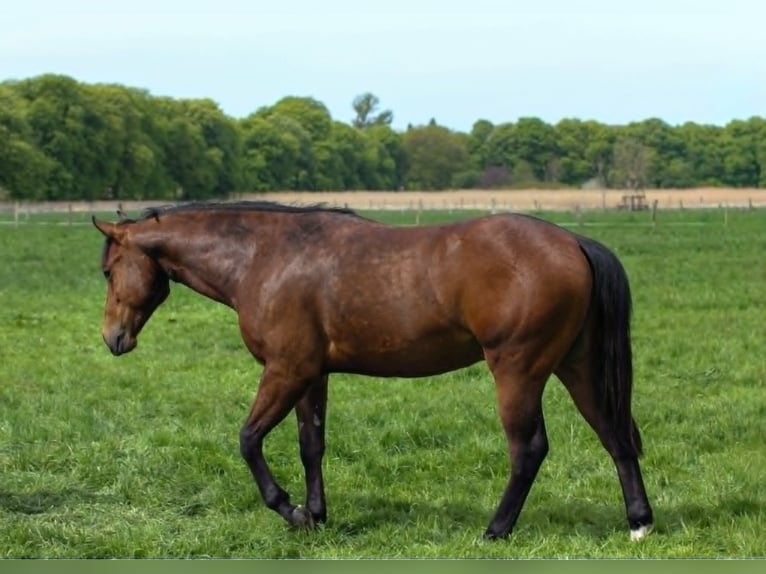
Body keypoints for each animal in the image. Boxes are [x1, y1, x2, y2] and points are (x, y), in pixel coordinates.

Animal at [92, 200, 653, 541]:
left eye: (107, 270)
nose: (113, 338)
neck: (264, 258)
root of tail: (573, 242)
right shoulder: (312, 375)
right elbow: (310, 445)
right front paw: (316, 516)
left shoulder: (285, 371)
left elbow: (248, 440)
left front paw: (291, 510)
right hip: (578, 368)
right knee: (616, 436)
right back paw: (639, 522)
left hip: (518, 371)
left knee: (529, 449)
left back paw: (496, 529)